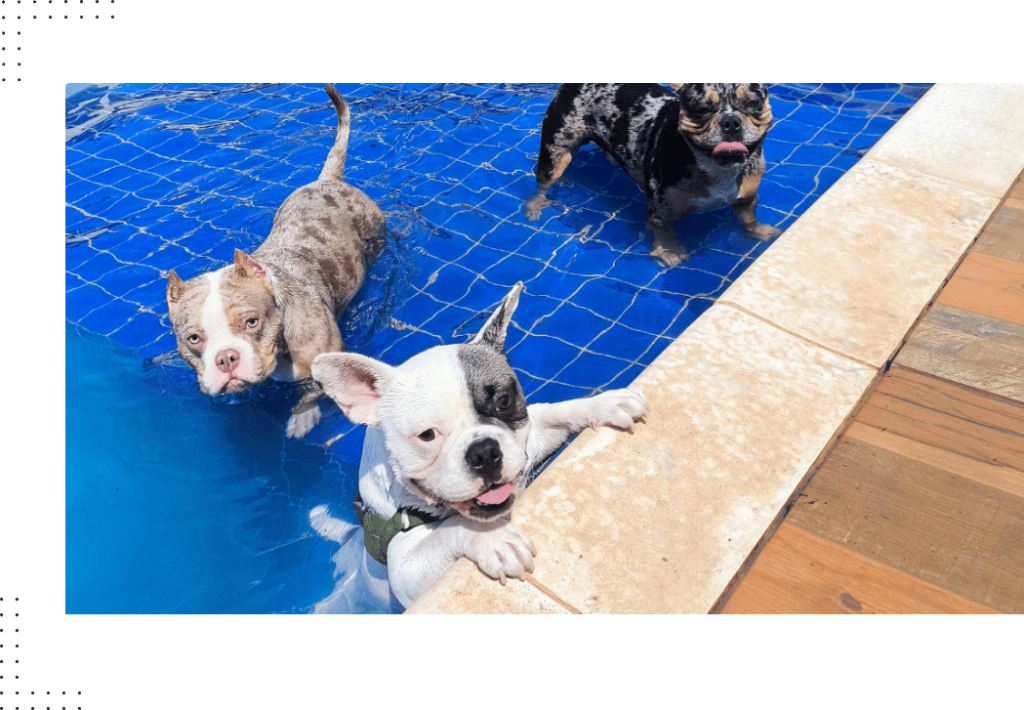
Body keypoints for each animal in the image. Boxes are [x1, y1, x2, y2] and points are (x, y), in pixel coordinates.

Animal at [166, 84, 386, 439]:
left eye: (252, 322)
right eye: (193, 339)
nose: (226, 358)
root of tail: (326, 181)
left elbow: (311, 391)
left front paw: (302, 416)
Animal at [310, 283, 650, 609]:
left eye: (504, 401)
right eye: (427, 435)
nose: (484, 452)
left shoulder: (529, 440)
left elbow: (555, 412)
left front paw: (603, 403)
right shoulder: (404, 568)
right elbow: (449, 530)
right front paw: (492, 538)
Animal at [526, 83, 782, 267]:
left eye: (754, 103)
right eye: (701, 109)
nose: (731, 121)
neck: (715, 166)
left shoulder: (746, 196)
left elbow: (748, 217)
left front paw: (759, 231)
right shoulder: (660, 211)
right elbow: (663, 231)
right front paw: (669, 251)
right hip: (556, 152)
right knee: (543, 182)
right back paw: (536, 205)